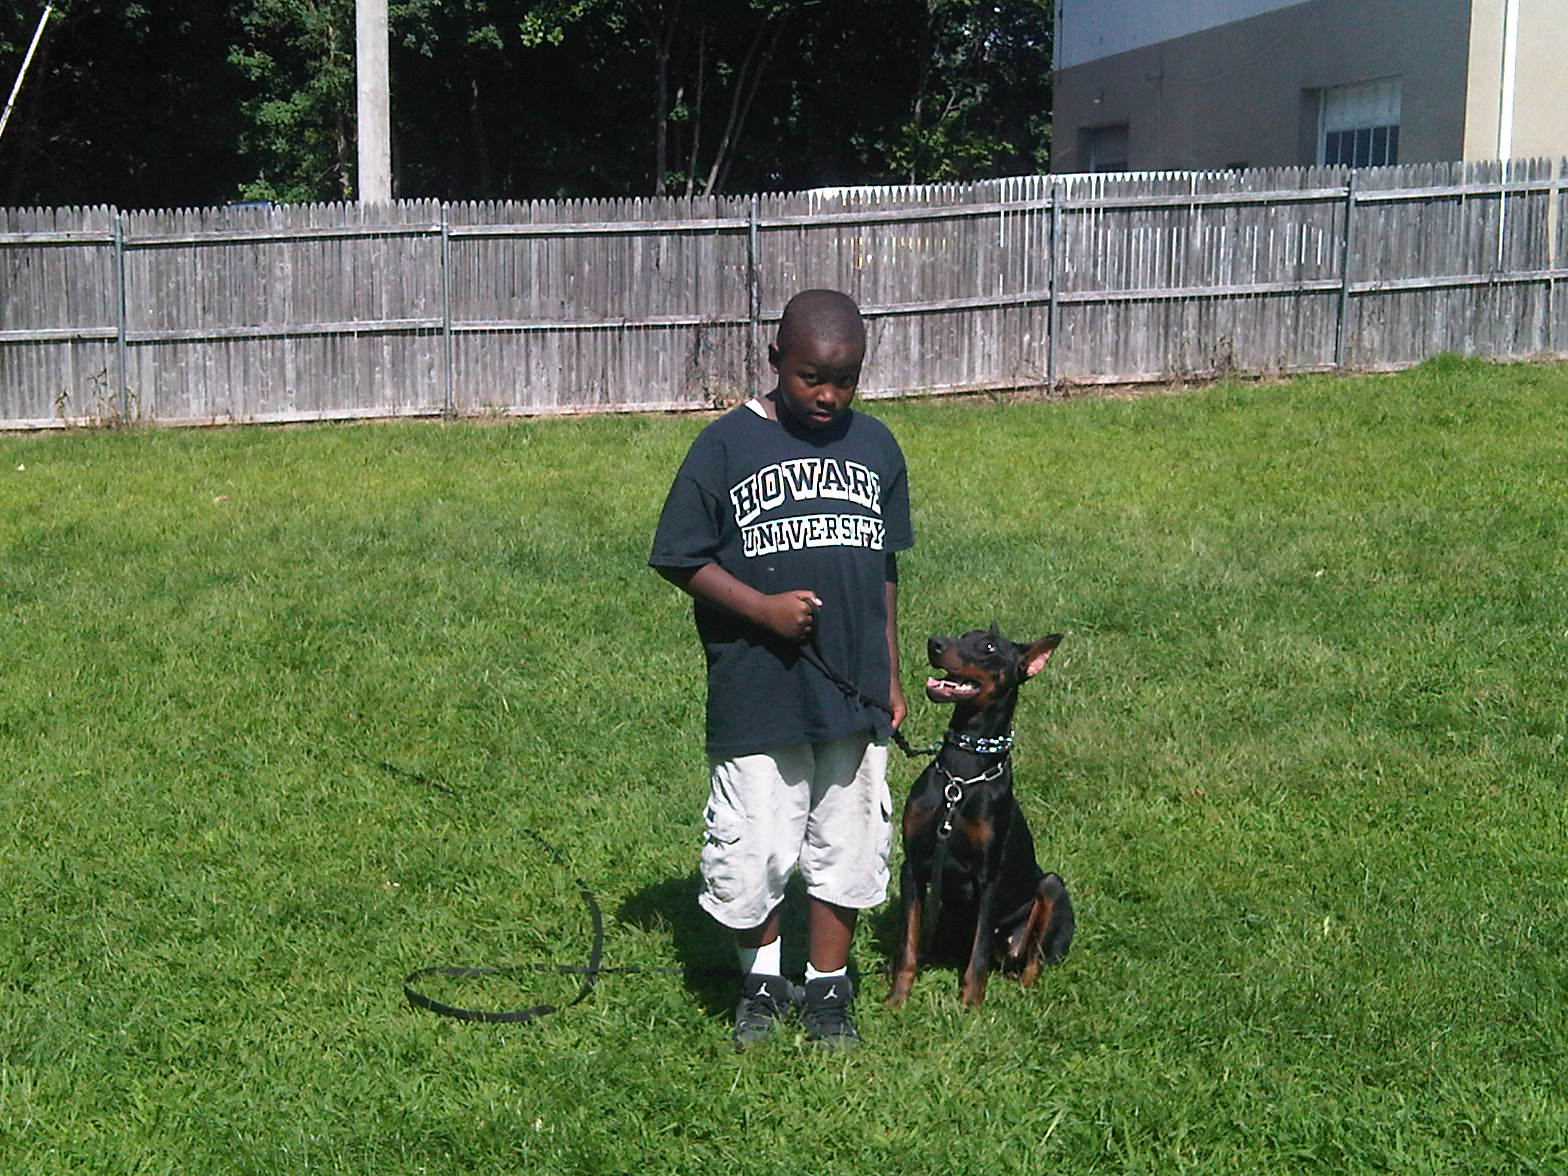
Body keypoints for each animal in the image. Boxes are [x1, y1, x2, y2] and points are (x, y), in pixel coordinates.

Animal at [890, 627, 1072, 1016]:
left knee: (1031, 960)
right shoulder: (913, 865)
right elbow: (907, 944)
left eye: (989, 646)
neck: (962, 773)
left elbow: (978, 956)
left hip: (1051, 888)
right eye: (962, 635)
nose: (935, 643)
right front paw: (897, 999)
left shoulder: (989, 878)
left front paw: (970, 1006)